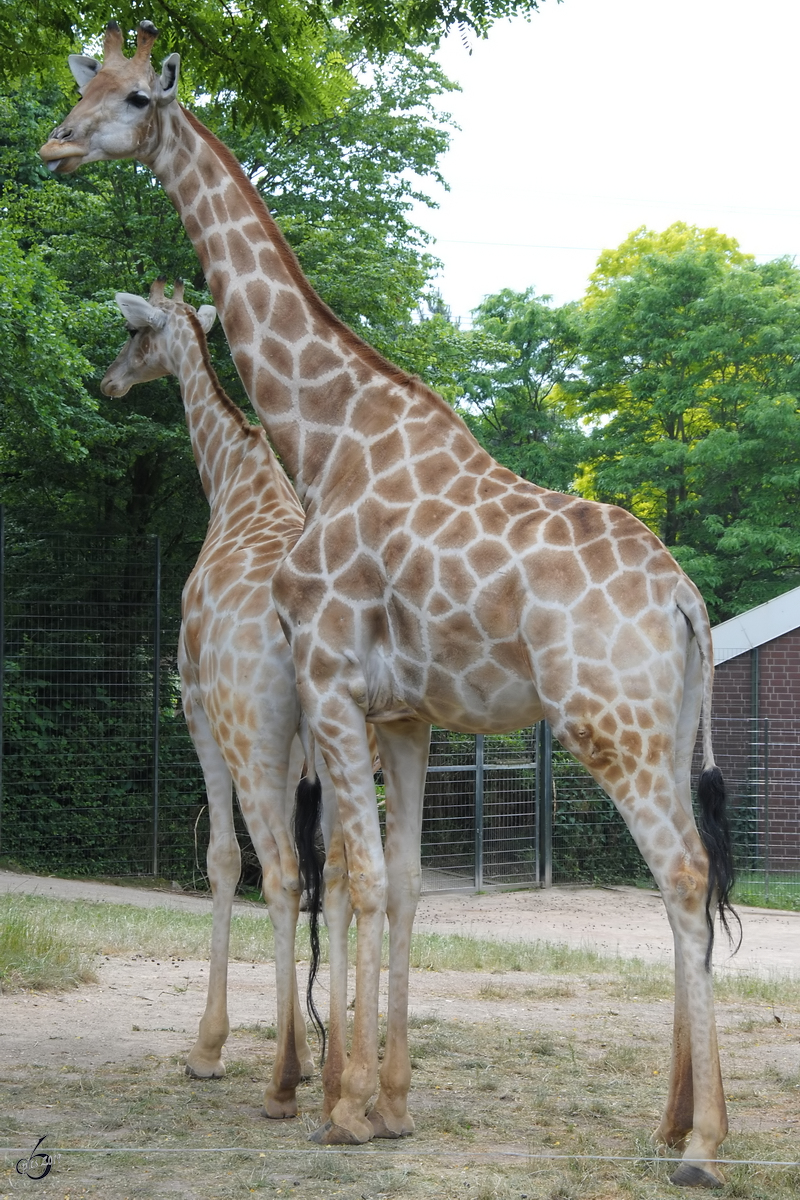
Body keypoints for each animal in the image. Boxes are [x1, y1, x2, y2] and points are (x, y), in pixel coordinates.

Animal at [100, 278, 350, 1113]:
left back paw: (282, 1080)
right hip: (349, 744)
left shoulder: (197, 708)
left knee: (279, 872)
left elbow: (217, 860)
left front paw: (207, 1048)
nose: (107, 382)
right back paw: (341, 1074)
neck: (235, 486)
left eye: (133, 335)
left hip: (251, 741)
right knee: (343, 877)